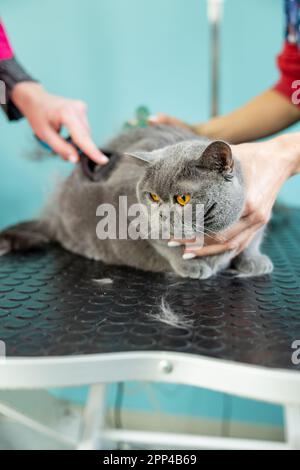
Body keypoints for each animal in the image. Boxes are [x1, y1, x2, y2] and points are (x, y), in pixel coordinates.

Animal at [0, 125, 274, 280]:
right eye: (152, 197)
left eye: (183, 198)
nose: (162, 214)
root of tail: (54, 215)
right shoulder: (141, 221)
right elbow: (168, 247)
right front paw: (192, 266)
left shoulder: (256, 214)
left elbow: (251, 241)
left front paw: (254, 261)